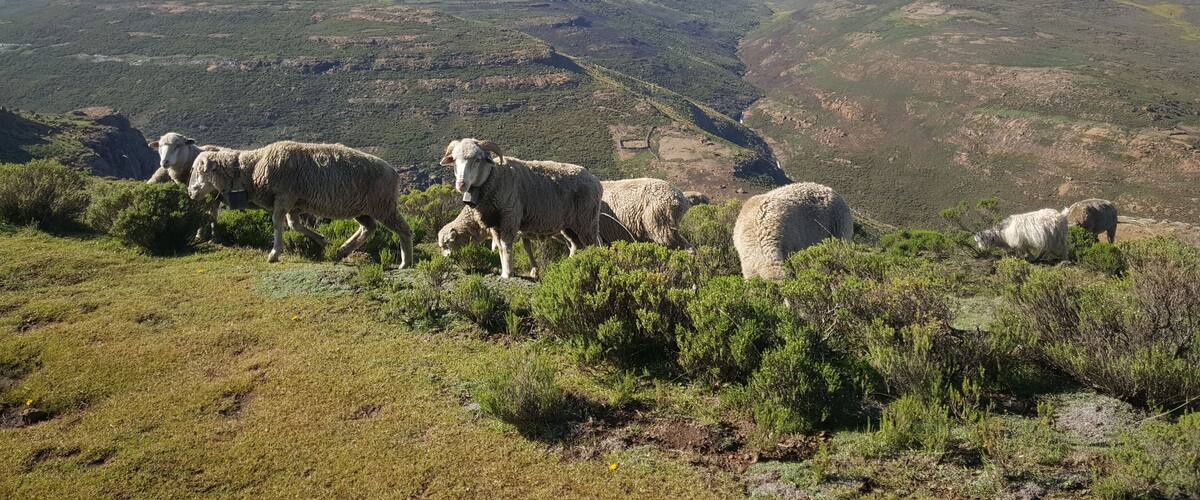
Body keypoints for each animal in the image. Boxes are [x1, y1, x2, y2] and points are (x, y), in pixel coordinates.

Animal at [187, 141, 413, 266]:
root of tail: (394, 172)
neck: (252, 168)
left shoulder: (283, 197)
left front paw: (274, 253)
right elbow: (295, 225)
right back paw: (342, 250)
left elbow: (278, 223)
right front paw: (323, 240)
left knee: (404, 230)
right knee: (369, 228)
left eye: (199, 170)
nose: (190, 192)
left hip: (383, 205)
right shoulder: (293, 203)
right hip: (362, 208)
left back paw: (405, 262)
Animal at [440, 138, 602, 279]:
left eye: (477, 160)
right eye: (454, 160)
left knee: (593, 244)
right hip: (569, 226)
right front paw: (505, 272)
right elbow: (500, 247)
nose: (461, 184)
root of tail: (595, 180)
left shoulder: (509, 218)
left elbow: (506, 246)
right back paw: (569, 264)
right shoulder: (494, 224)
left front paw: (507, 274)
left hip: (587, 221)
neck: (495, 177)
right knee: (576, 245)